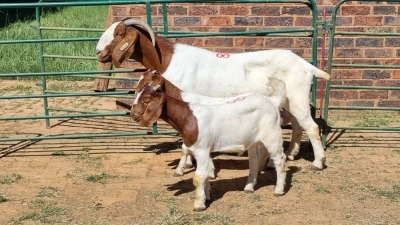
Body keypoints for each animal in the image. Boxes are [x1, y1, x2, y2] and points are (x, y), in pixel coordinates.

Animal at [95, 18, 330, 169]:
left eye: (119, 34)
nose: (98, 52)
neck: (167, 60)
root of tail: (307, 66)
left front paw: (188, 163)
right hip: (290, 100)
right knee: (299, 125)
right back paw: (291, 154)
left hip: (297, 97)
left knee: (311, 127)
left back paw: (318, 163)